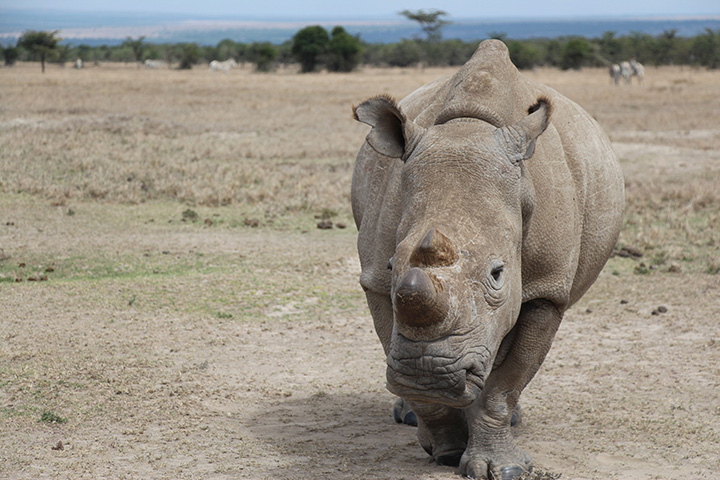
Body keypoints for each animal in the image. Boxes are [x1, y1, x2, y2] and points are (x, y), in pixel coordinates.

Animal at [351, 40, 624, 479]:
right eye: (393, 266)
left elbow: (506, 382)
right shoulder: (375, 280)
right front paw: (444, 447)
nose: (427, 373)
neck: (468, 130)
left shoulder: (546, 288)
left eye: (498, 273)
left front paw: (503, 467)